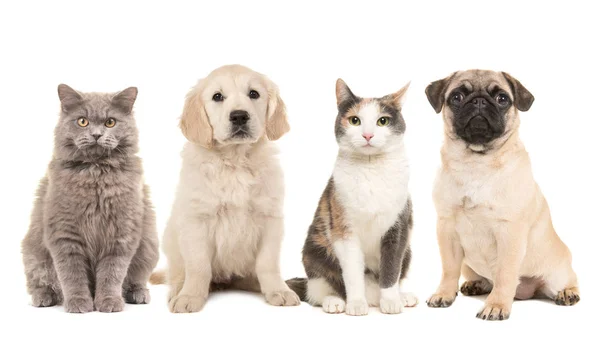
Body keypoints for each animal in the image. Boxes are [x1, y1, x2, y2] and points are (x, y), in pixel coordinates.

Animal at [21, 84, 158, 312]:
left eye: (110, 122)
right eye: (82, 121)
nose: (96, 134)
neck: (96, 173)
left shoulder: (121, 233)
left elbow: (112, 273)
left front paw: (109, 302)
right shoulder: (65, 234)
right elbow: (72, 274)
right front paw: (78, 302)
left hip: (149, 246)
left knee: (136, 279)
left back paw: (138, 294)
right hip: (34, 255)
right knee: (41, 282)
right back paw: (43, 298)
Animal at [151, 64, 298, 312]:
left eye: (254, 94)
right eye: (217, 97)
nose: (239, 116)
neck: (235, 161)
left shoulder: (270, 218)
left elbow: (268, 263)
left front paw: (278, 290)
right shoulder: (197, 220)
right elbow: (198, 266)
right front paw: (190, 296)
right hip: (171, 239)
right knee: (177, 273)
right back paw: (178, 290)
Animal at [288, 79, 418, 316]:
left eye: (382, 121)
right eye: (354, 120)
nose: (367, 135)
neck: (371, 169)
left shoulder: (398, 227)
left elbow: (391, 268)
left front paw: (391, 301)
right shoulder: (343, 226)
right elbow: (352, 272)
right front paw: (356, 303)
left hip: (409, 252)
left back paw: (402, 297)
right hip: (314, 250)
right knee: (317, 290)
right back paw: (335, 301)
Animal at [424, 69, 580, 318]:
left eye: (502, 99)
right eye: (457, 97)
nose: (479, 101)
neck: (476, 163)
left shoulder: (510, 232)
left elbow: (505, 274)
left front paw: (496, 305)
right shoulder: (446, 228)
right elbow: (448, 269)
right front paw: (444, 294)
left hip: (557, 274)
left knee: (569, 281)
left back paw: (567, 293)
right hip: (467, 265)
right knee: (480, 278)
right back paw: (476, 284)